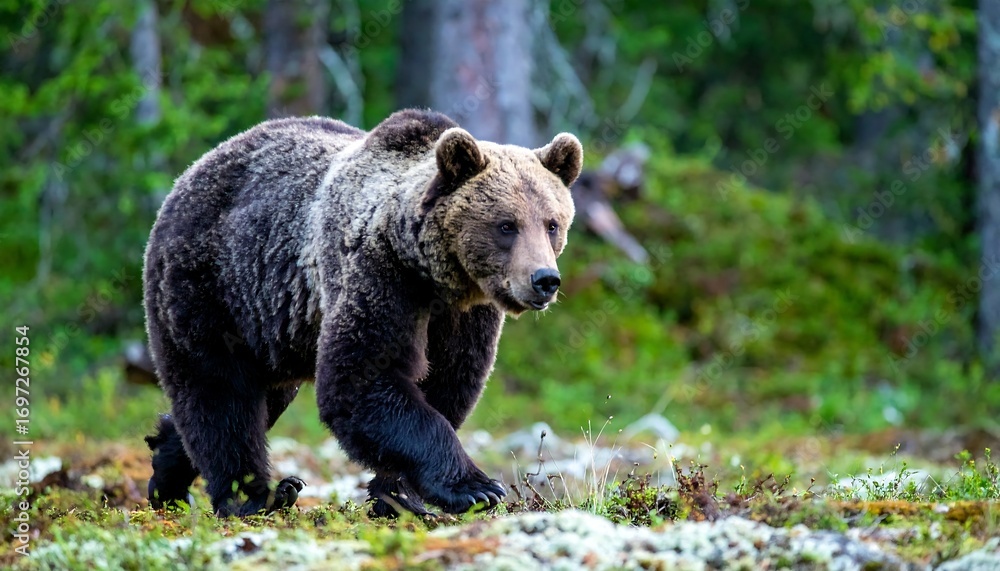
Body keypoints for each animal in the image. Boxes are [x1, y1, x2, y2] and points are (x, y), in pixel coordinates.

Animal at [143, 109, 582, 517]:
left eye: (552, 224)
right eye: (506, 225)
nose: (544, 279)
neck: (432, 275)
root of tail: (189, 173)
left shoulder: (464, 315)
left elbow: (449, 381)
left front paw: (398, 495)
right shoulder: (377, 274)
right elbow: (362, 378)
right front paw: (476, 488)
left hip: (276, 328)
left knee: (264, 395)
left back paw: (166, 470)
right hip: (212, 284)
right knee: (219, 391)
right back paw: (255, 495)